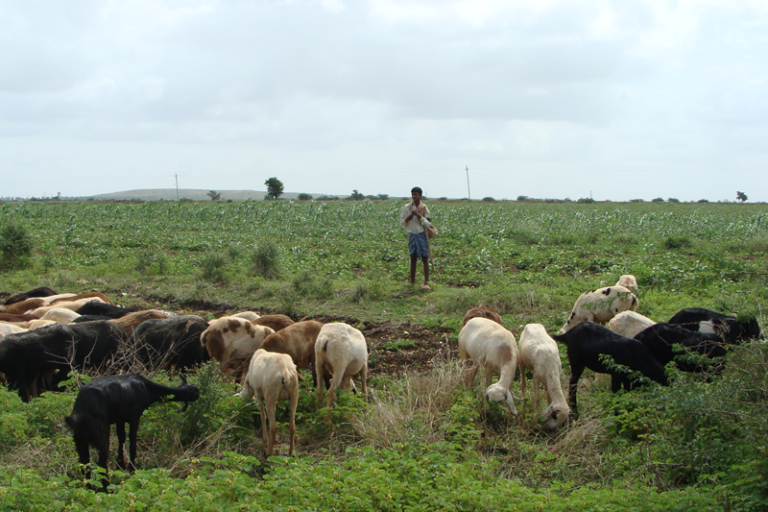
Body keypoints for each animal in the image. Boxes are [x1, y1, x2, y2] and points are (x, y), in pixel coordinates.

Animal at [65, 372, 200, 488]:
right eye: (193, 390)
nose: (198, 394)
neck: (146, 387)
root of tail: (79, 413)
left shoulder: (120, 419)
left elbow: (122, 438)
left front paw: (120, 465)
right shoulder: (135, 415)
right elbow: (132, 443)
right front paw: (132, 469)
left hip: (79, 438)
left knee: (84, 463)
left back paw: (89, 488)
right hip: (100, 433)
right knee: (101, 463)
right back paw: (106, 489)